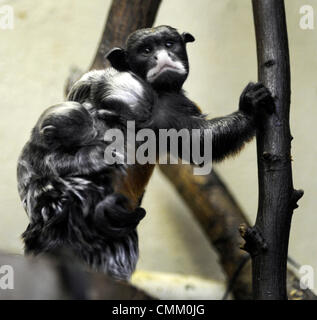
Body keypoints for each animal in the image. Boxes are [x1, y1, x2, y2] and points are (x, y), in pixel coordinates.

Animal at [18, 25, 272, 280]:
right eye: (147, 50)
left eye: (169, 44)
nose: (162, 57)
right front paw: (249, 109)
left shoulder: (173, 107)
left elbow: (200, 142)